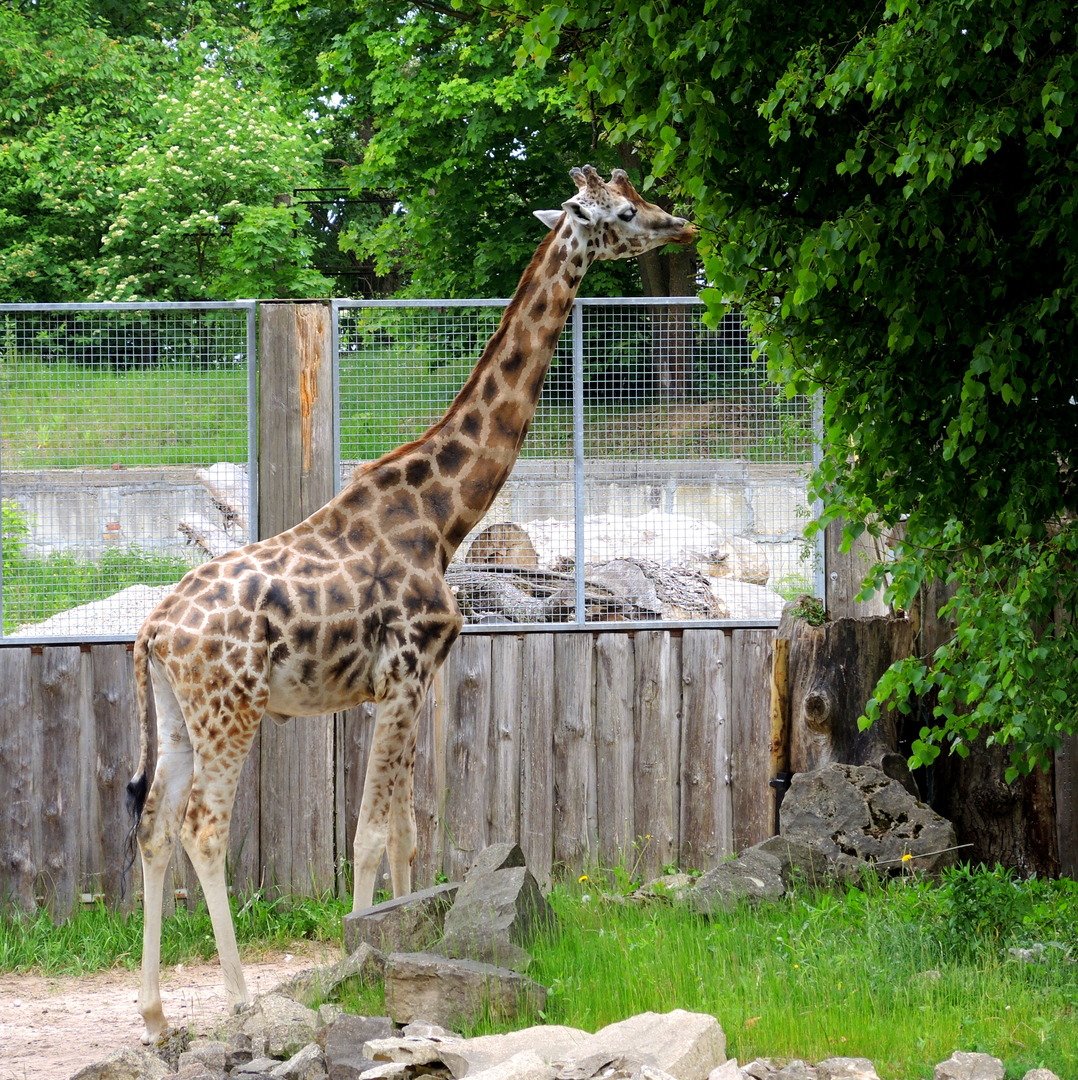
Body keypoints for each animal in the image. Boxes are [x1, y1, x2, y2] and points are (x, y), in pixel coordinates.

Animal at [126, 164, 699, 1041]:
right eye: (624, 212)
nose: (682, 225)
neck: (442, 517)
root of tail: (153, 631)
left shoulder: (409, 682)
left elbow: (403, 831)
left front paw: (399, 942)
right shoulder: (401, 673)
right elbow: (366, 835)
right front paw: (354, 953)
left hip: (177, 714)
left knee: (155, 827)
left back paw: (157, 1017)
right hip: (233, 707)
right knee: (203, 827)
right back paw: (239, 1001)